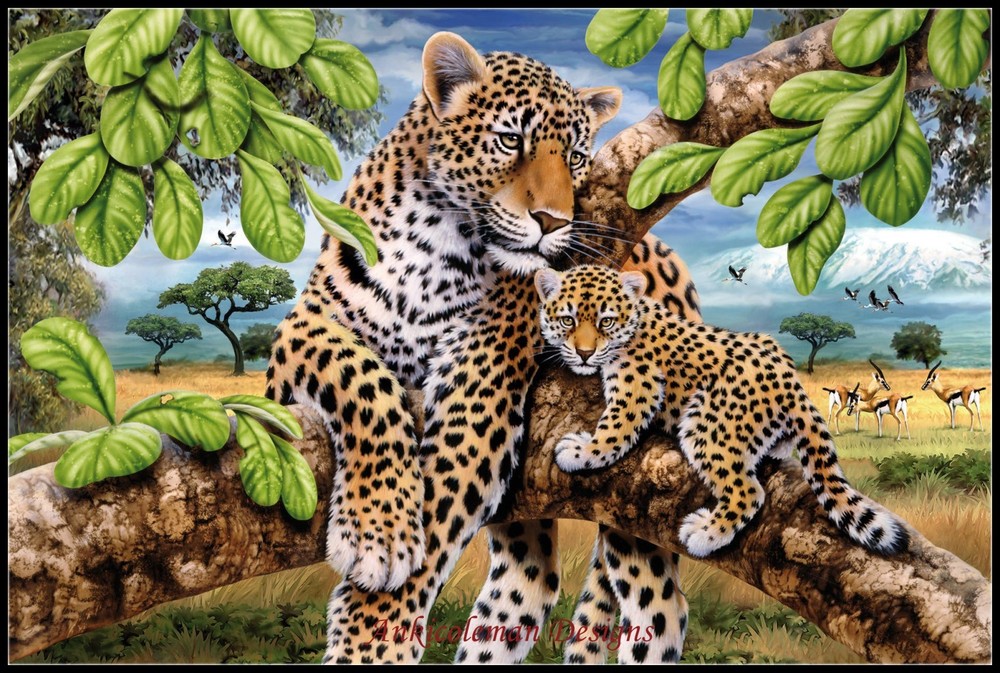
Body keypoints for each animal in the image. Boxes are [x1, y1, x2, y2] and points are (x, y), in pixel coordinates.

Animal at [265, 31, 701, 664]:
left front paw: (375, 630)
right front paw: (378, 530)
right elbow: (360, 376)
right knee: (528, 582)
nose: (552, 221)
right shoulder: (302, 330)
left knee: (660, 604)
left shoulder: (484, 374)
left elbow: (444, 496)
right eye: (510, 139)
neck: (431, 242)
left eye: (576, 157)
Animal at [535, 264, 911, 559]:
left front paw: (583, 452)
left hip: (706, 426)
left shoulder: (638, 384)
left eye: (607, 321)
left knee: (748, 492)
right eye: (567, 319)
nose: (584, 353)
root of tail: (791, 384)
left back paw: (705, 534)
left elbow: (616, 426)